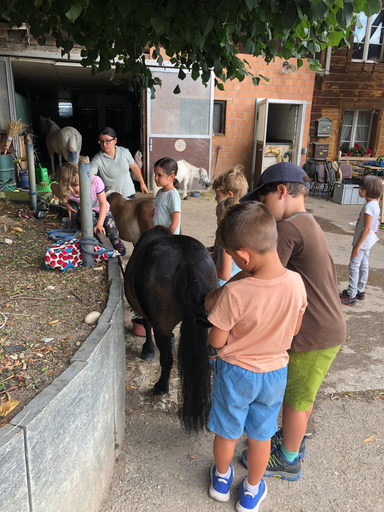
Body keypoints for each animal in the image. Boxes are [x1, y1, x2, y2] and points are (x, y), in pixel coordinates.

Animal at [124, 226, 218, 430]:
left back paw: (160, 387)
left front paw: (148, 349)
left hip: (162, 327)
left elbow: (147, 326)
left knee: (166, 360)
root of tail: (186, 261)